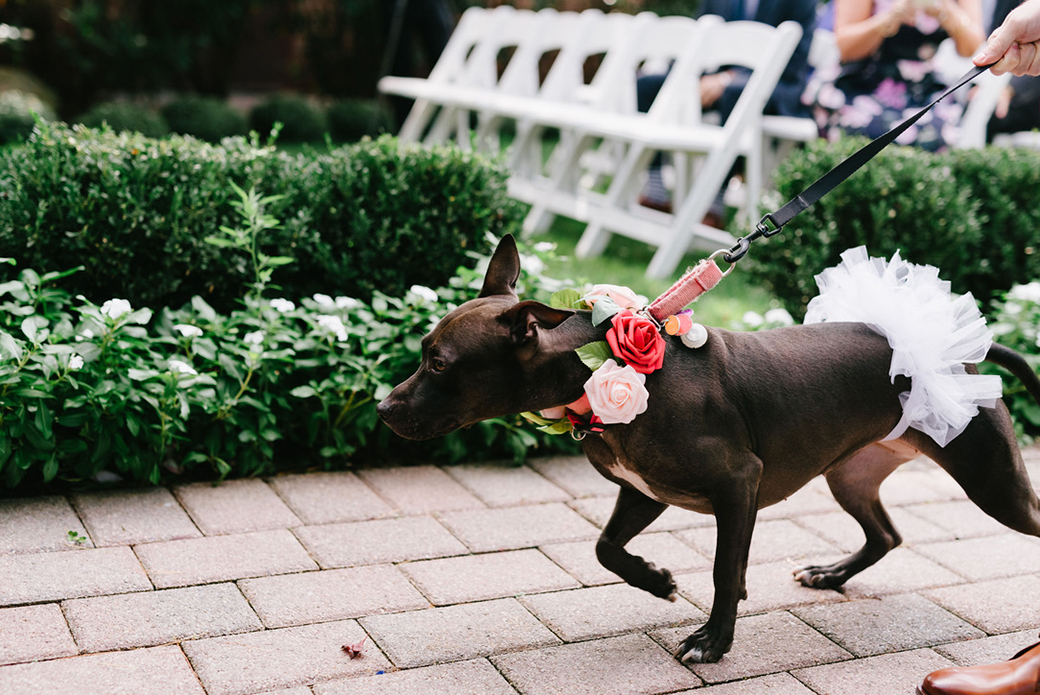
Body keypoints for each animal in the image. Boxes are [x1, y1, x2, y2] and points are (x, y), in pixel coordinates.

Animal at [378, 237, 1040, 661]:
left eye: (439, 363)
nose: (383, 409)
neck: (604, 366)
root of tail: (963, 359)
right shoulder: (643, 490)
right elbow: (604, 548)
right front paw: (656, 581)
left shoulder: (737, 486)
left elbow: (727, 569)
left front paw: (714, 642)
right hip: (849, 476)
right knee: (886, 534)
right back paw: (830, 574)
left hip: (993, 482)